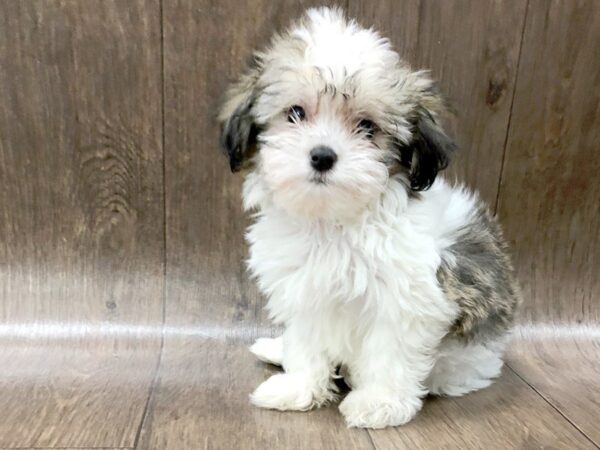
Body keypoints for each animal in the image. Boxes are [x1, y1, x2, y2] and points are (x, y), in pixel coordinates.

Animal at [218, 7, 516, 428]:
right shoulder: (306, 291)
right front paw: (298, 388)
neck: (335, 220)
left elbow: (390, 352)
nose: (322, 155)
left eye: (367, 127)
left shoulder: (406, 300)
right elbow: (306, 344)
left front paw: (381, 402)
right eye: (296, 113)